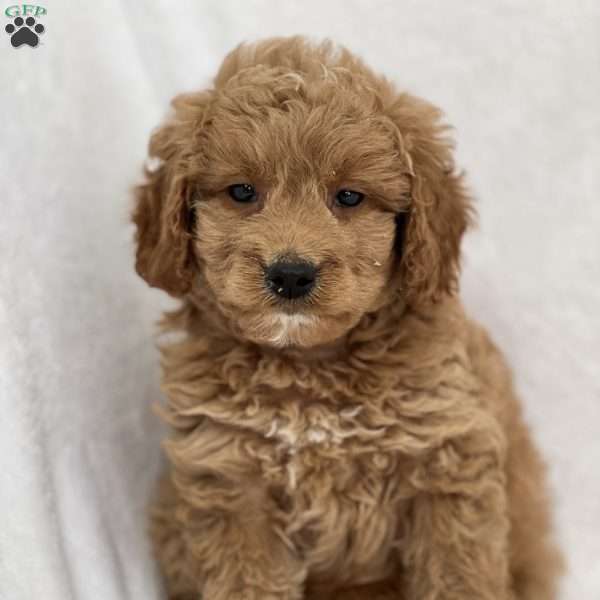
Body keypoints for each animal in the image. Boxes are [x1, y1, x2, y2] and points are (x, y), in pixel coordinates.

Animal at [131, 36, 564, 600]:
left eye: (350, 197)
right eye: (242, 192)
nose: (291, 274)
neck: (311, 367)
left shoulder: (447, 461)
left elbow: (457, 575)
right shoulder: (229, 479)